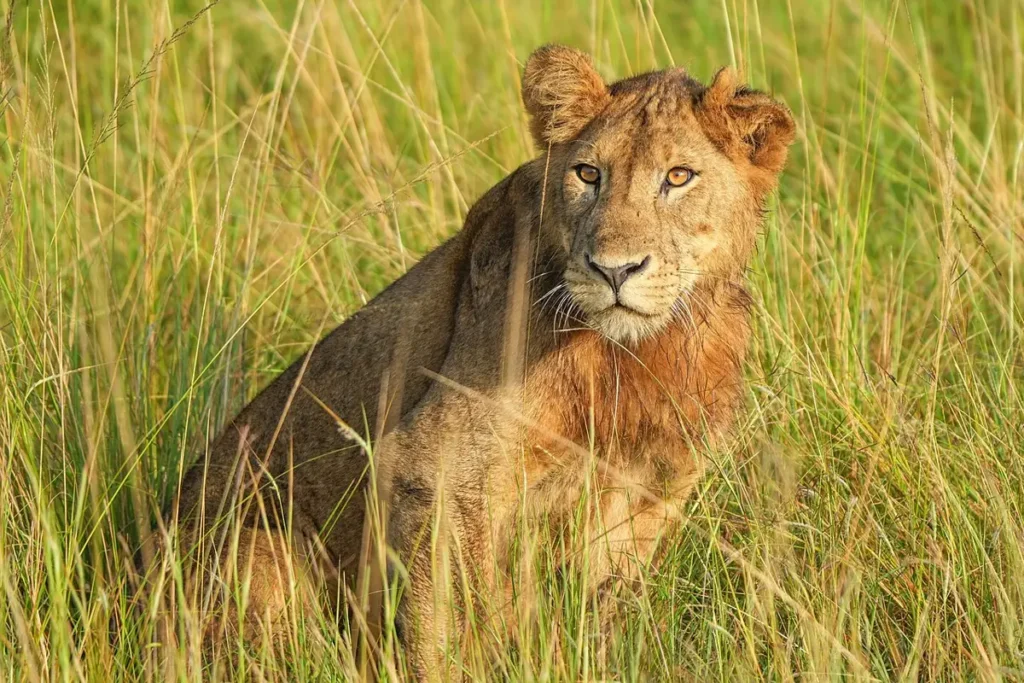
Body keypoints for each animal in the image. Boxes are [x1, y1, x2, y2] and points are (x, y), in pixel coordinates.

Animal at [173, 45, 795, 676]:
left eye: (678, 177)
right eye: (588, 175)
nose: (614, 270)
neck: (637, 355)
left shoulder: (650, 492)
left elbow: (602, 610)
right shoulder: (432, 469)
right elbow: (452, 624)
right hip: (254, 545)